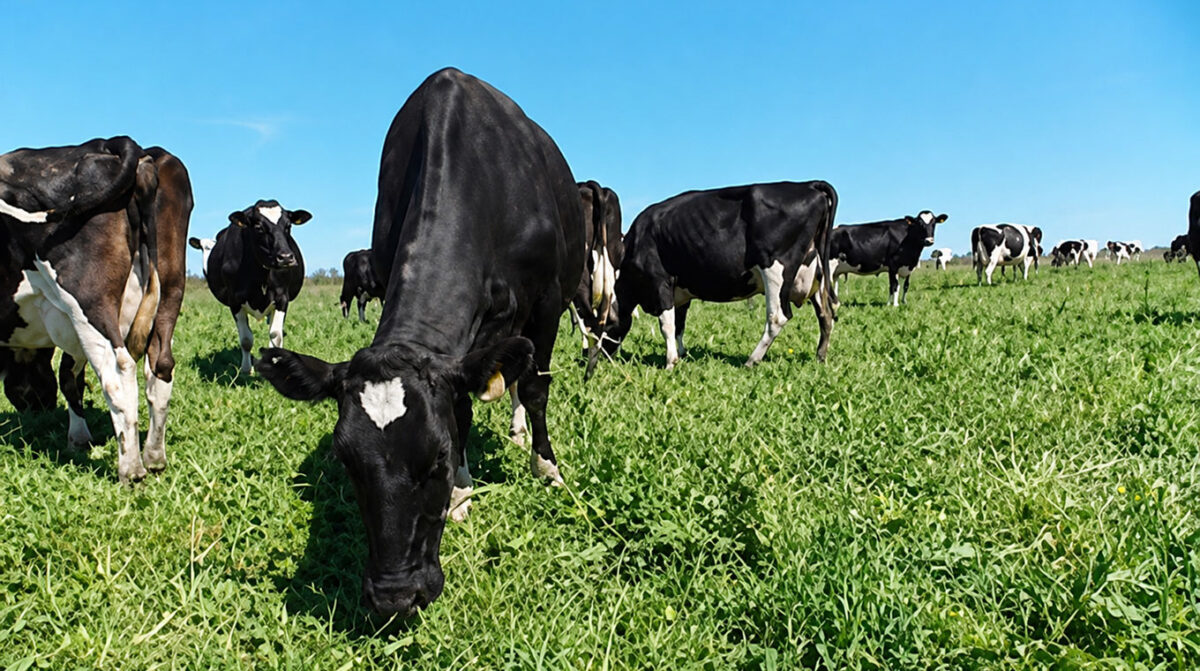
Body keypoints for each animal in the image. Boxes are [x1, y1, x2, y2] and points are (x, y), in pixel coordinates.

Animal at [0, 137, 191, 484]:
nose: (40, 404)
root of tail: (114, 143)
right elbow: (69, 375)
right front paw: (79, 438)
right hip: (170, 289)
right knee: (160, 366)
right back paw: (154, 457)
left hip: (88, 302)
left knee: (118, 373)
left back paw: (131, 469)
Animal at [198, 200, 312, 374]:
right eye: (258, 227)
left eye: (288, 226)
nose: (286, 257)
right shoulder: (235, 301)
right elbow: (246, 339)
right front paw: (246, 370)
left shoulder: (282, 298)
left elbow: (276, 335)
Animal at [253, 69, 585, 618]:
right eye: (348, 463)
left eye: (437, 460)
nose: (394, 596)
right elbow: (464, 406)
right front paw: (462, 496)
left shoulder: (548, 301)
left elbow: (537, 389)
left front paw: (547, 468)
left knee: (524, 380)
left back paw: (520, 432)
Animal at [600, 181, 837, 369]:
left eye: (603, 324)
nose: (597, 356)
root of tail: (808, 185)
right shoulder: (681, 292)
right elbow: (679, 325)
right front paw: (682, 354)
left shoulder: (660, 281)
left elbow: (667, 325)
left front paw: (670, 362)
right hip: (817, 276)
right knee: (826, 316)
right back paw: (820, 357)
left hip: (775, 270)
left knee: (778, 317)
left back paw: (751, 360)